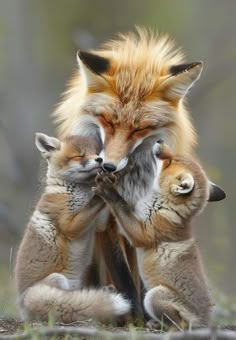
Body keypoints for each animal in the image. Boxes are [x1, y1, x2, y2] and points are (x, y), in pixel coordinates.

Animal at [54, 27, 203, 312]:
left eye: (140, 129)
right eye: (107, 121)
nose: (108, 165)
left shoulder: (147, 217)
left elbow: (142, 277)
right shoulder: (105, 221)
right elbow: (124, 279)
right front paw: (133, 314)